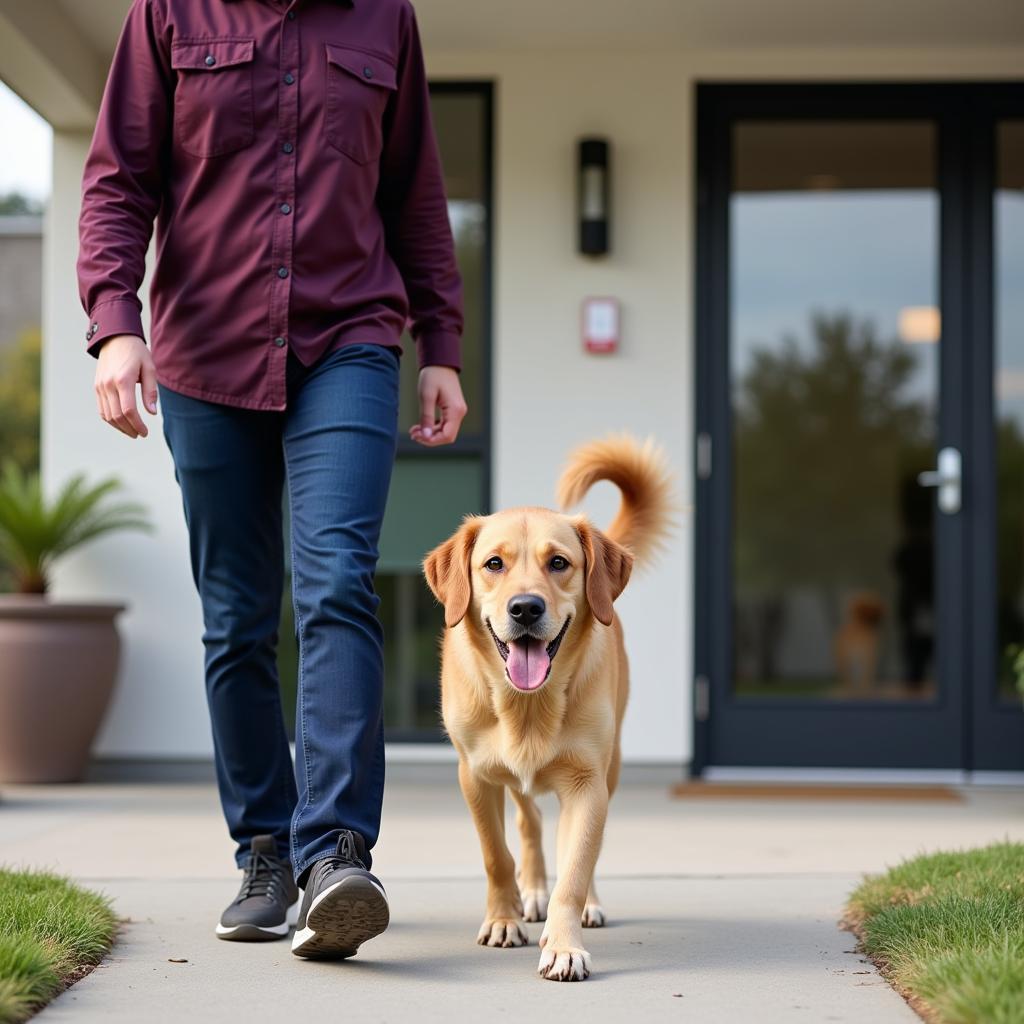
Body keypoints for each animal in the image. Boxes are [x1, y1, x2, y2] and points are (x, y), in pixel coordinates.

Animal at [419, 436, 667, 978]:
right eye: (494, 564)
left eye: (558, 563)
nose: (526, 608)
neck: (527, 706)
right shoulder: (475, 775)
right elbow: (496, 855)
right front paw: (503, 918)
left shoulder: (588, 783)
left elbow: (575, 868)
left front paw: (564, 944)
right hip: (513, 779)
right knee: (528, 823)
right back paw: (529, 893)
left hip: (610, 769)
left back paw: (585, 904)